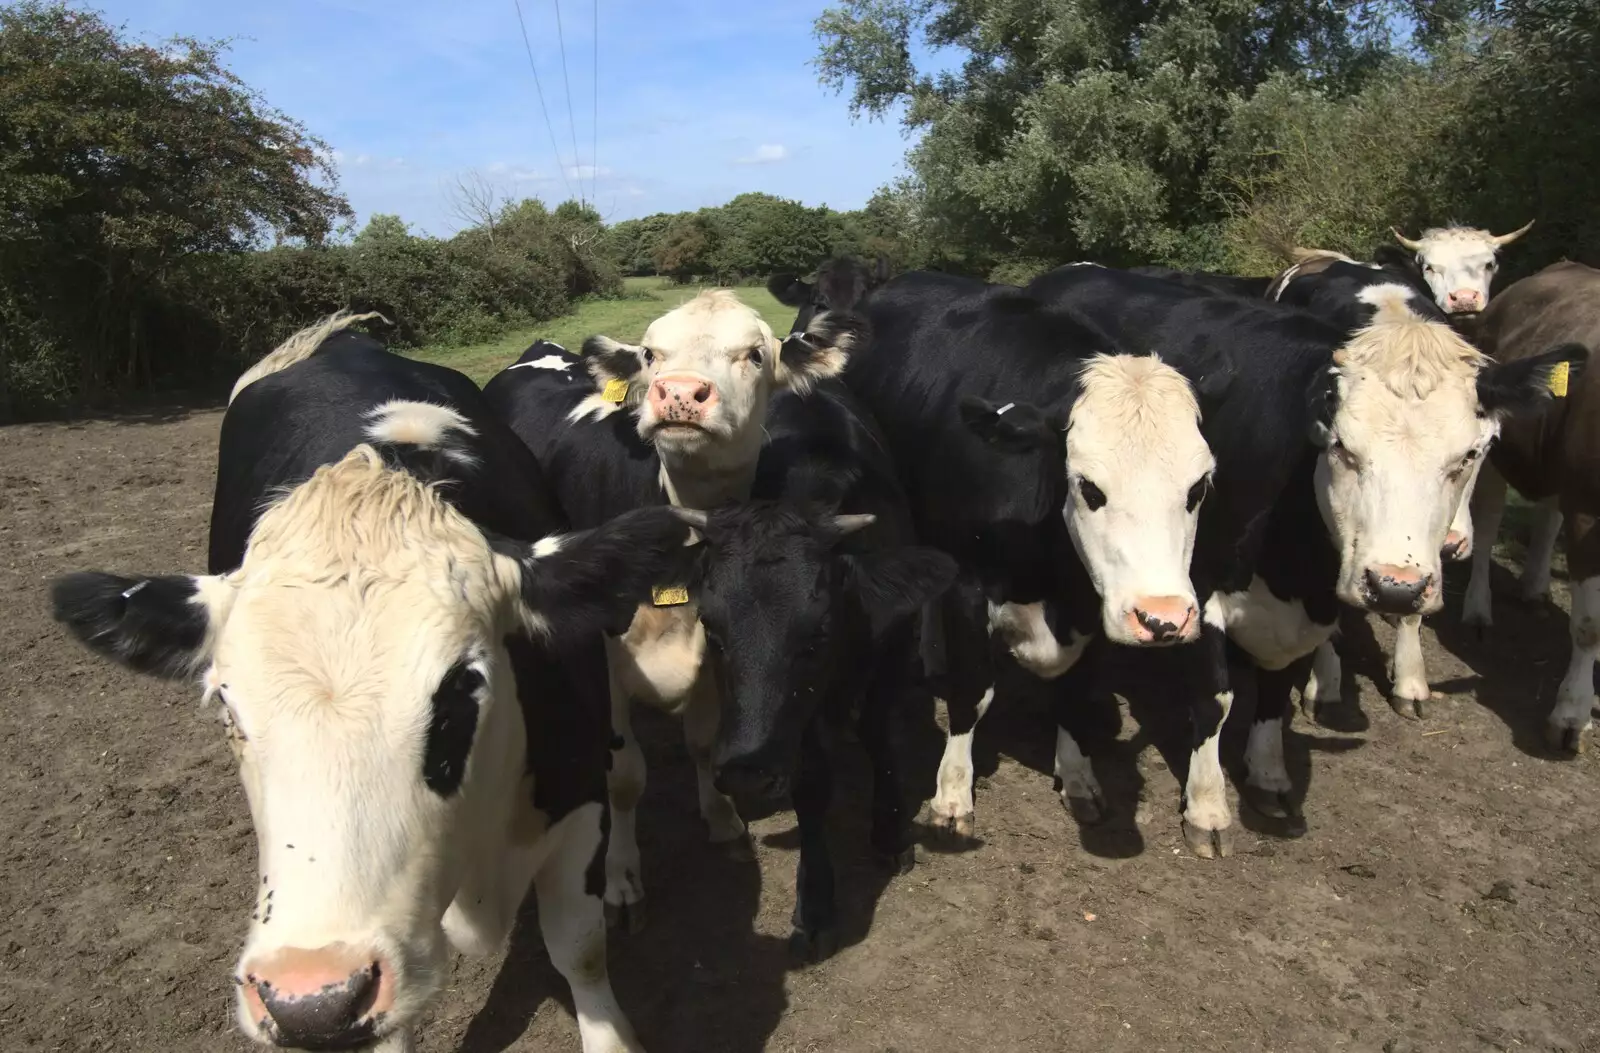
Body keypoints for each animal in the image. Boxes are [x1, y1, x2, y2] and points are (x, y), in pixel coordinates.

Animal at [480, 292, 947, 953]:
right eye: (651, 353)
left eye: (753, 353)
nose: (678, 391)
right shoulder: (608, 650)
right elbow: (625, 776)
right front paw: (623, 883)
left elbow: (712, 740)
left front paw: (728, 820)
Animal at [1465, 264, 1600, 755]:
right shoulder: (1589, 511)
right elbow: (1589, 625)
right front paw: (1572, 712)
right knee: (1486, 526)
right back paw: (1477, 609)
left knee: (1547, 517)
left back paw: (1536, 586)